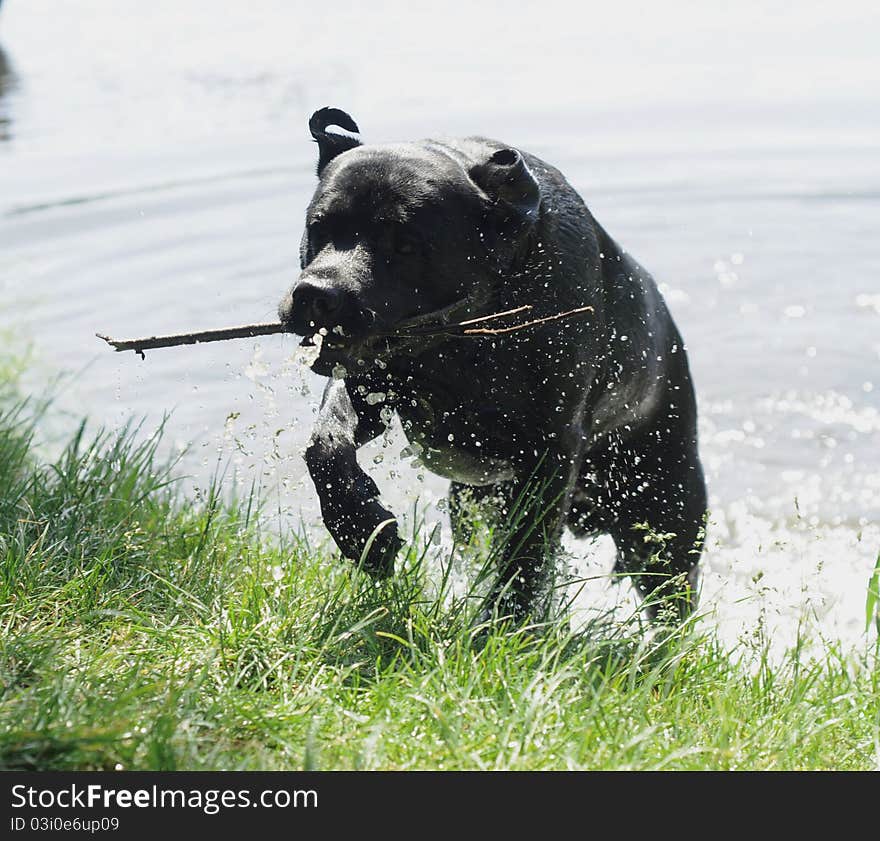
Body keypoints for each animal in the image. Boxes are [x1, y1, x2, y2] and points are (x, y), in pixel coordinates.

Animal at [282, 106, 708, 624]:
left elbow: (526, 555)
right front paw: (362, 529)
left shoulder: (550, 454)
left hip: (663, 522)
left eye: (405, 244)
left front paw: (503, 623)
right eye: (320, 228)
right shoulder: (369, 385)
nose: (316, 294)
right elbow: (325, 445)